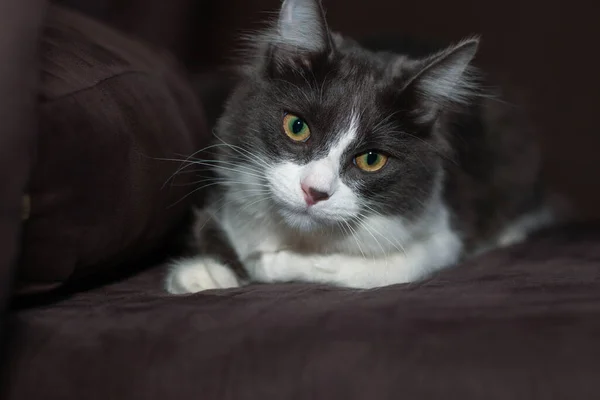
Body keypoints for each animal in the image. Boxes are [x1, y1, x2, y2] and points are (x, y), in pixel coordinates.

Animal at [163, 0, 552, 294]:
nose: (314, 191)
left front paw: (266, 263)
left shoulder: (440, 238)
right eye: (297, 127)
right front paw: (205, 272)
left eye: (371, 159)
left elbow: (369, 271)